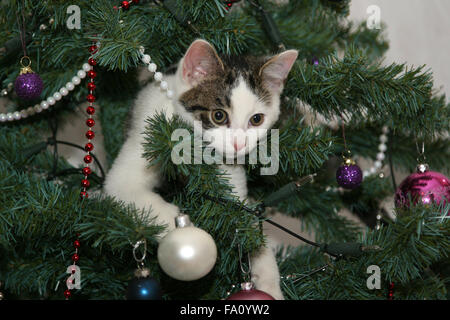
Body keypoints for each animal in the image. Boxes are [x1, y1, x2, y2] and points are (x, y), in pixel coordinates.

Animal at [103, 40, 298, 300]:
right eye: (218, 115)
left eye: (257, 119)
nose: (239, 144)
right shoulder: (142, 141)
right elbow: (127, 189)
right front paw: (186, 238)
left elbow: (243, 218)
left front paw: (269, 281)